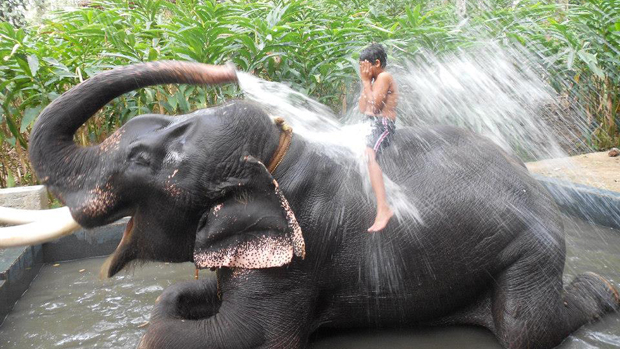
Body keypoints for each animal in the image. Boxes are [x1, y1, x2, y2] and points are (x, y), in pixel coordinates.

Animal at [2, 61, 616, 346]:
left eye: (141, 159)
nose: (227, 69)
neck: (279, 152)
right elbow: (188, 296)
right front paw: (188, 294)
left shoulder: (299, 260)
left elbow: (222, 337)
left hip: (528, 251)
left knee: (524, 330)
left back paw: (601, 291)